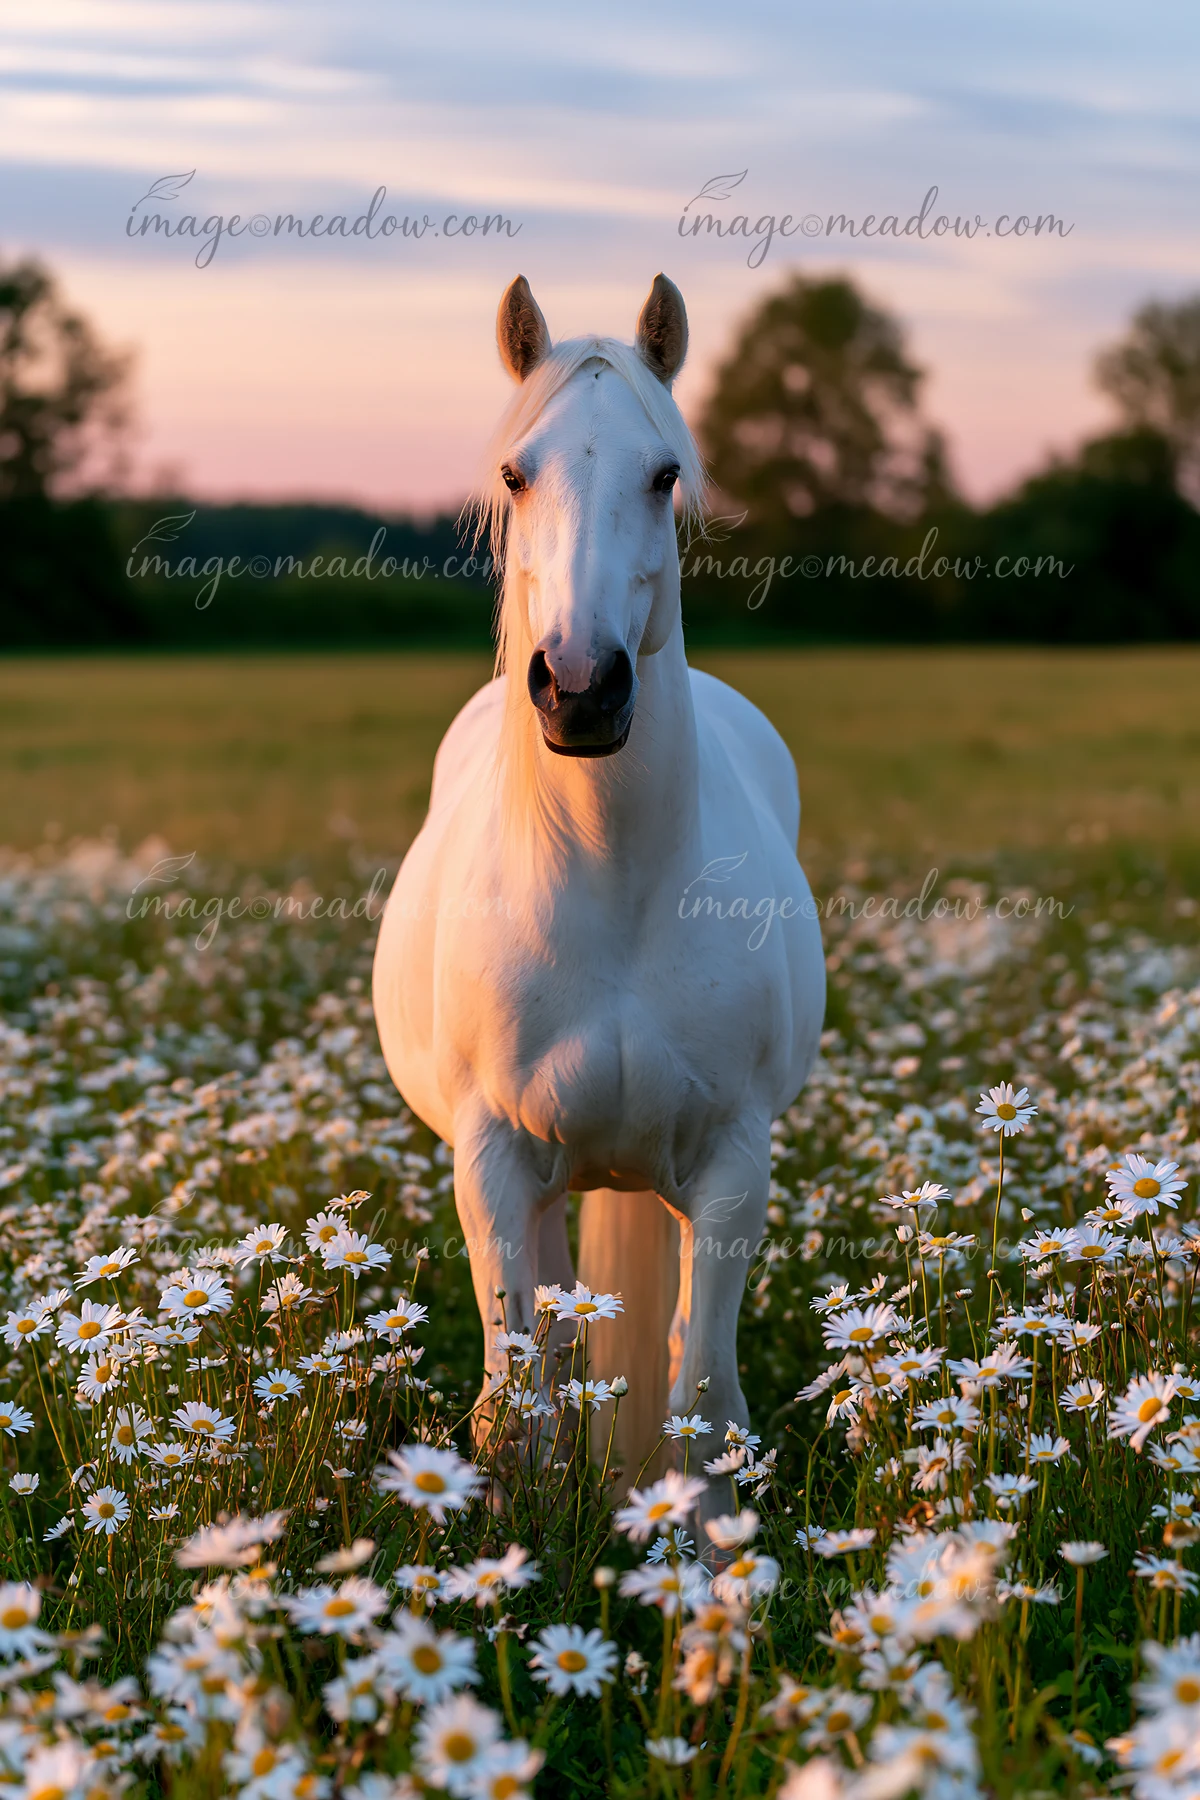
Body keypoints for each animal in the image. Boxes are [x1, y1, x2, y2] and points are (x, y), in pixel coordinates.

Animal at [372, 273, 826, 1495]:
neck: (613, 885)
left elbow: (704, 1412)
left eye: (663, 473)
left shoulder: (730, 1170)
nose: (580, 687)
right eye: (514, 474)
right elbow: (513, 1417)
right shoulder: (490, 1166)